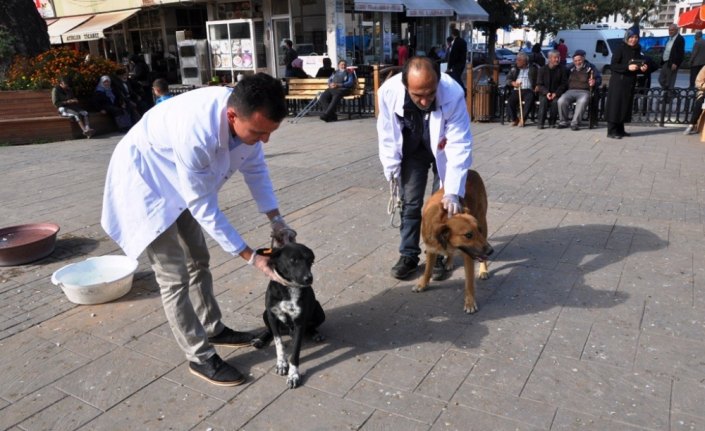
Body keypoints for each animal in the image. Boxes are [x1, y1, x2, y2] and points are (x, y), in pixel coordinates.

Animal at [252, 245, 326, 390]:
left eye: (310, 260)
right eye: (293, 260)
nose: (309, 279)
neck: (288, 289)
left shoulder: (299, 324)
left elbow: (295, 353)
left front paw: (293, 376)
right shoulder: (272, 316)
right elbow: (278, 343)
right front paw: (281, 363)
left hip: (319, 311)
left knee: (311, 326)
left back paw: (315, 333)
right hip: (265, 313)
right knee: (269, 330)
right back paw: (260, 339)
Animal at [416, 169, 492, 314]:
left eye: (478, 230)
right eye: (468, 235)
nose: (491, 251)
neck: (443, 219)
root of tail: (471, 171)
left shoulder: (468, 256)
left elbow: (469, 283)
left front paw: (470, 303)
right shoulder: (431, 249)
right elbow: (428, 270)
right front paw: (422, 284)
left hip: (483, 220)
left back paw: (483, 270)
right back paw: (449, 262)